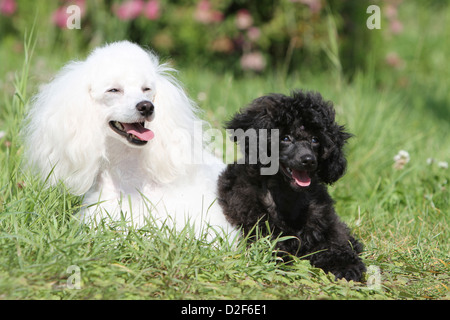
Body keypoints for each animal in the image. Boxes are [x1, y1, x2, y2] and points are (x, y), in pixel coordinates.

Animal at [217, 90, 366, 282]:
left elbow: (336, 242)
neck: (286, 194)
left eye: (315, 139)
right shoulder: (253, 217)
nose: (308, 160)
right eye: (285, 138)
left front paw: (345, 266)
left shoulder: (325, 221)